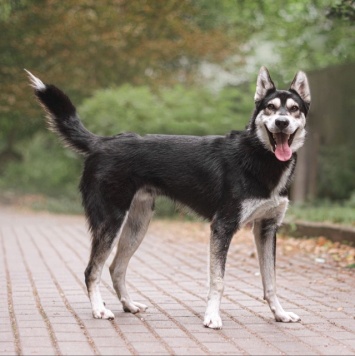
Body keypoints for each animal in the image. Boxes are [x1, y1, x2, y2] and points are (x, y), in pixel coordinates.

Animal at [26, 67, 312, 328]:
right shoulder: (223, 227)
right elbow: (218, 281)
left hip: (137, 225)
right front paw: (212, 316)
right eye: (270, 107)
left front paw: (280, 314)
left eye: (294, 109)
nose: (282, 122)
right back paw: (99, 309)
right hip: (111, 222)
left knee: (115, 268)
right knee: (92, 270)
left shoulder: (267, 228)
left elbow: (271, 281)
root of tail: (102, 142)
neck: (260, 157)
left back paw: (129, 305)